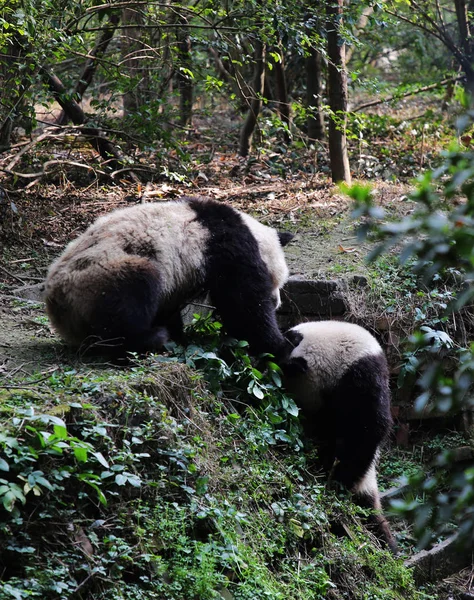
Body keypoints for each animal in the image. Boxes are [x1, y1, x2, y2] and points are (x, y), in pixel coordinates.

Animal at [44, 197, 292, 356]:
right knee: (131, 296)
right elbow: (244, 303)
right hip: (99, 275)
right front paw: (279, 345)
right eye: (277, 282)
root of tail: (57, 305)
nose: (278, 303)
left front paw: (181, 337)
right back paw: (150, 338)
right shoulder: (225, 247)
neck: (252, 232)